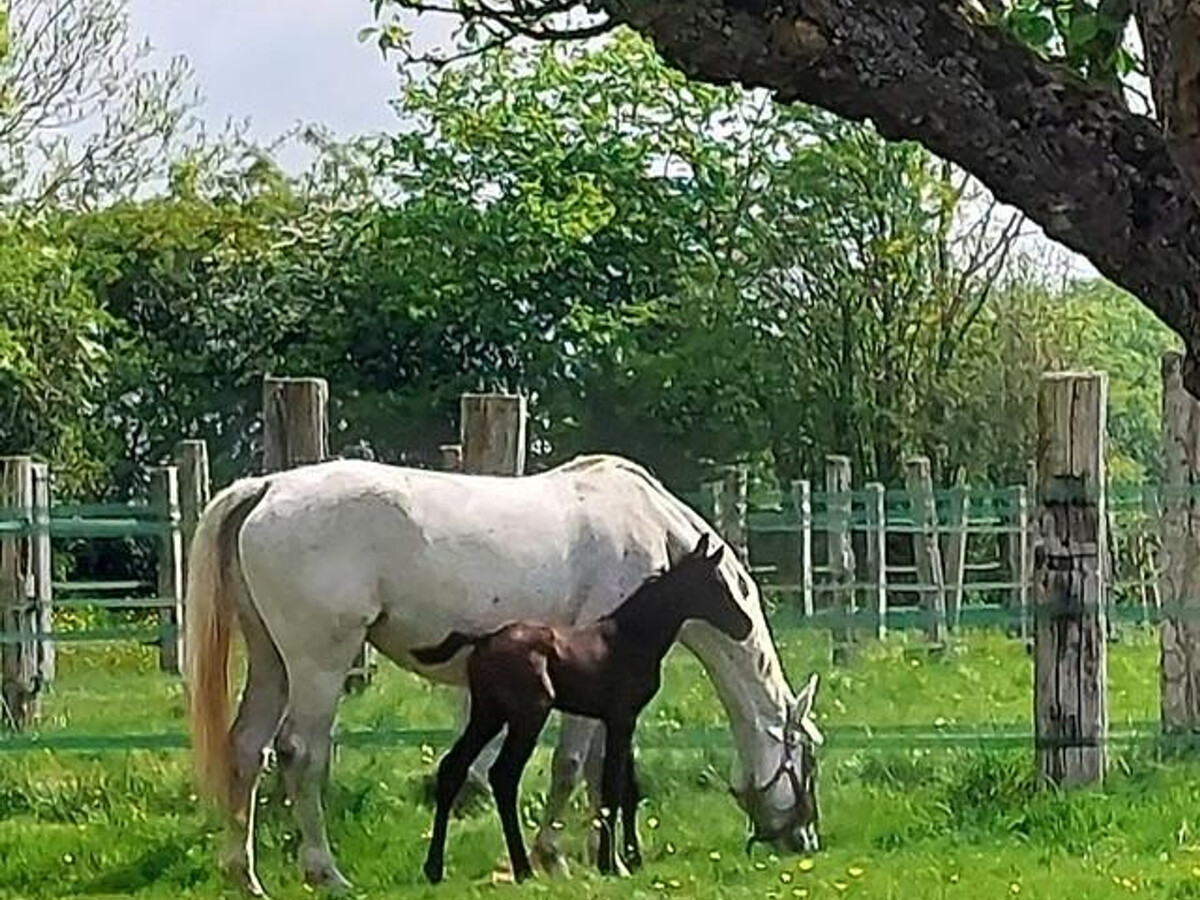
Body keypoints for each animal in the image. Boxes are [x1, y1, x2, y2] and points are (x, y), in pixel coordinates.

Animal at [416, 535, 751, 883]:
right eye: (714, 582)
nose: (745, 626)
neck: (631, 637)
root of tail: (482, 640)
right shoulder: (621, 718)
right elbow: (612, 787)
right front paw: (609, 864)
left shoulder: (621, 720)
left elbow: (628, 787)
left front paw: (631, 859)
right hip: (527, 716)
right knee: (503, 775)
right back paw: (523, 870)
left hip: (487, 715)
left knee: (452, 767)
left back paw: (434, 868)